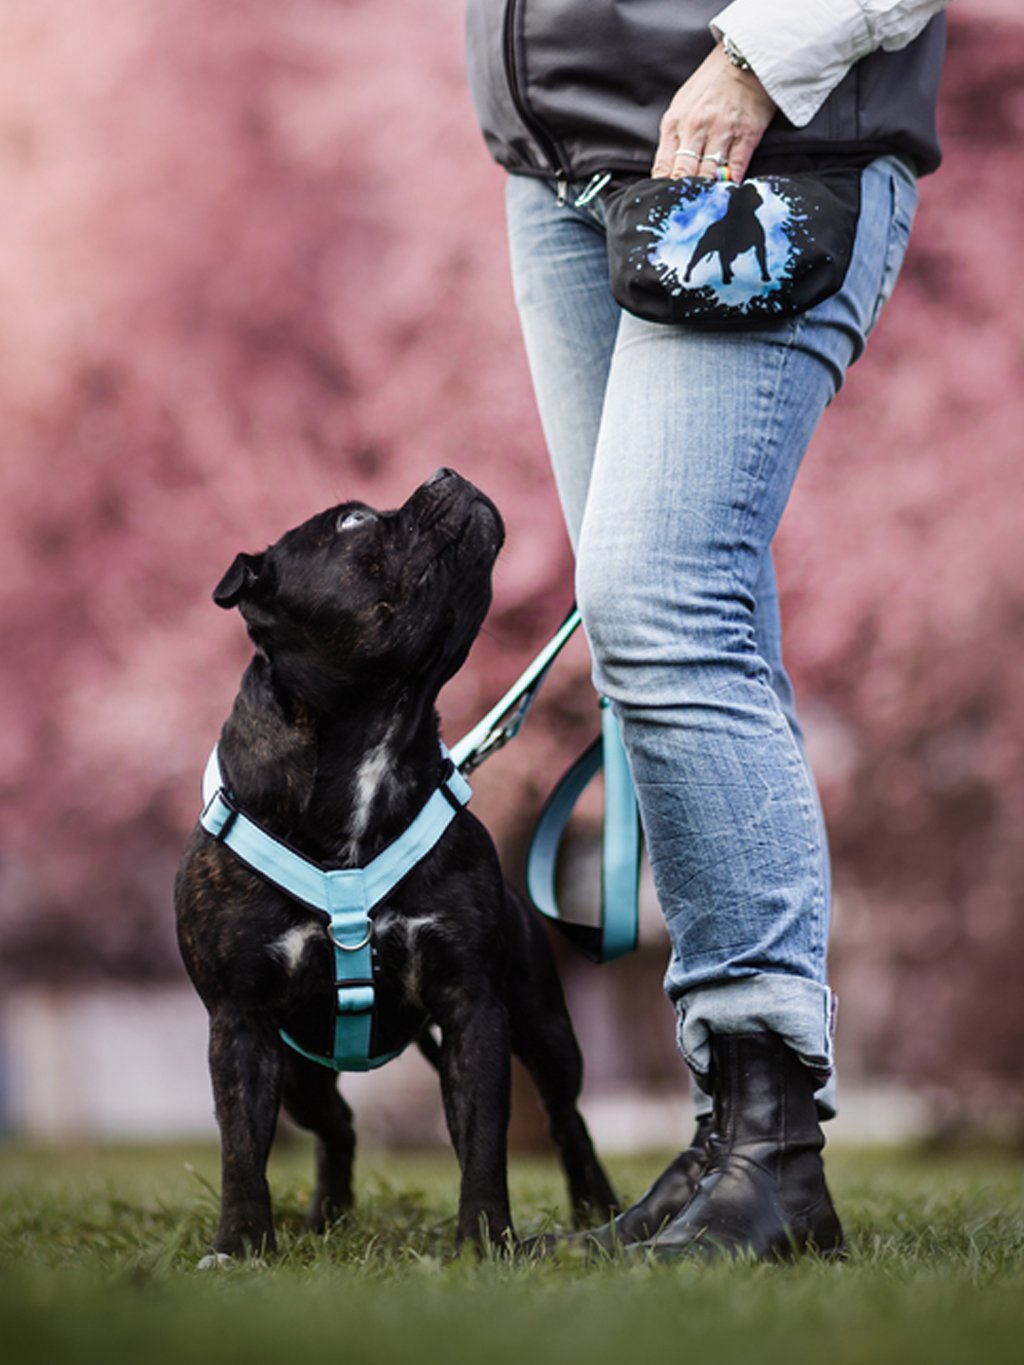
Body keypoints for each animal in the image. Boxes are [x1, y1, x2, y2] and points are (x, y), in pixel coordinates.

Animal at [174, 469, 617, 1255]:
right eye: (351, 521)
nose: (446, 473)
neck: (377, 733)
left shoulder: (475, 1006)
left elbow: (483, 1138)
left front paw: (484, 1240)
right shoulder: (240, 1021)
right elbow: (240, 1151)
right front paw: (240, 1245)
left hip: (545, 1024)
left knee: (567, 1114)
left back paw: (598, 1207)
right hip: (301, 1073)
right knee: (339, 1125)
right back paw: (327, 1217)